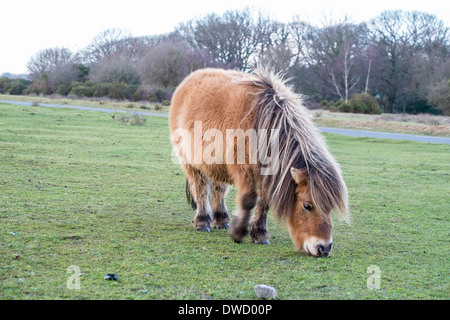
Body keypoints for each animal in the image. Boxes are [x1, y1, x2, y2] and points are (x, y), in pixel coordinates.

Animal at [169, 67, 348, 258]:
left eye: (329, 207)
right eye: (307, 206)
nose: (324, 247)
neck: (262, 123)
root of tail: (190, 79)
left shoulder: (266, 174)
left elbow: (264, 203)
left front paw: (259, 234)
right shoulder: (244, 171)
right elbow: (248, 200)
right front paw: (239, 232)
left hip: (217, 166)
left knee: (219, 190)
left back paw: (221, 219)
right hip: (191, 164)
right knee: (201, 190)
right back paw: (203, 221)